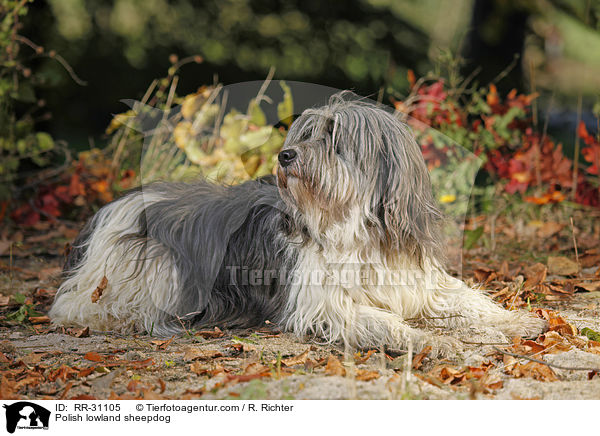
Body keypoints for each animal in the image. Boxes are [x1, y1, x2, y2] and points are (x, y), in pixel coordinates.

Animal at [49, 91, 548, 354]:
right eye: (304, 135)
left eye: (334, 139)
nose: (285, 156)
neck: (353, 228)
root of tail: (113, 209)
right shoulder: (325, 306)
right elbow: (387, 323)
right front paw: (435, 342)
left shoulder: (418, 282)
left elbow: (469, 301)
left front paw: (518, 322)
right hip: (151, 268)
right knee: (80, 308)